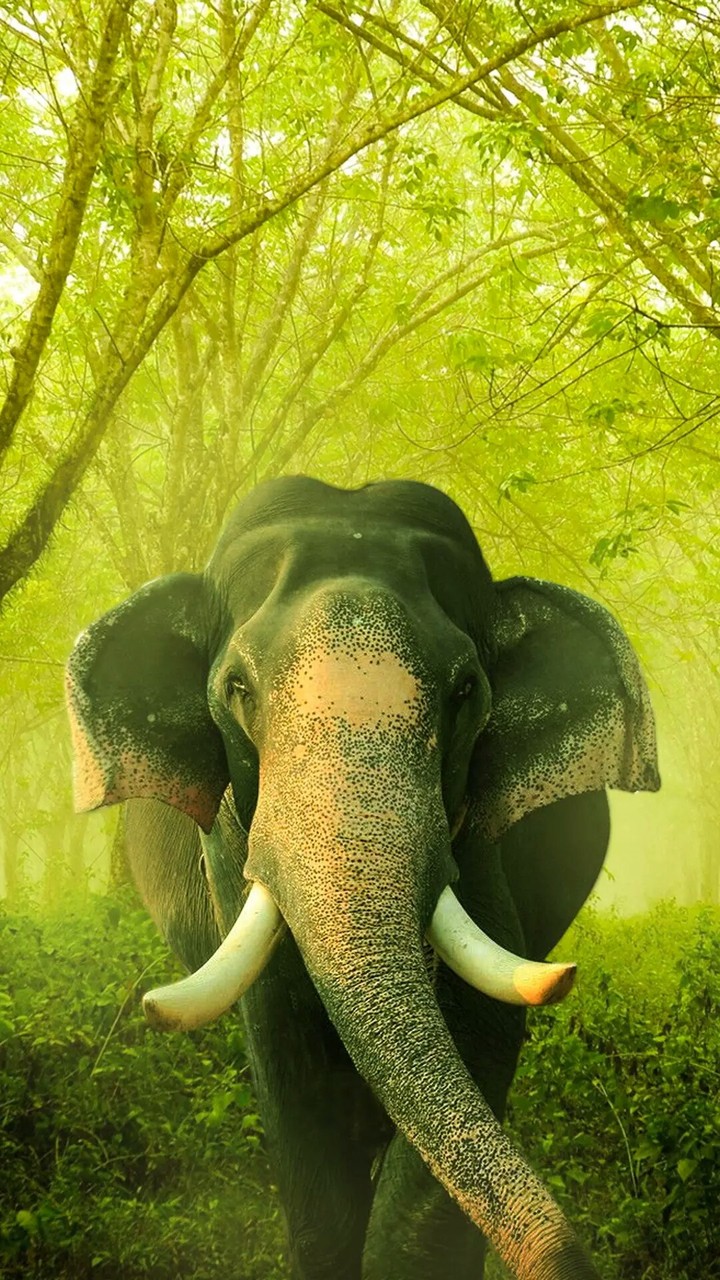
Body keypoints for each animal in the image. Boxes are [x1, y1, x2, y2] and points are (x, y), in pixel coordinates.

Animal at [66, 475, 659, 1280]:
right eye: (236, 687)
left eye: (467, 688)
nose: (572, 1259)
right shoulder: (229, 842)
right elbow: (284, 1046)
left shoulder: (479, 836)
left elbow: (482, 1022)